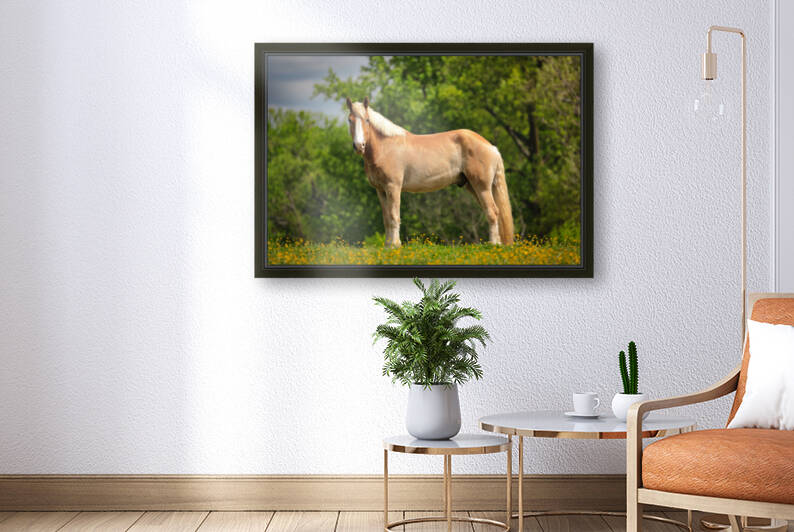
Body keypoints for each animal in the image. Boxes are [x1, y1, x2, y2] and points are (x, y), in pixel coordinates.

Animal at [345, 97, 514, 248]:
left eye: (367, 120)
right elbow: (386, 218)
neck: (386, 147)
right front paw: (388, 245)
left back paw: (493, 244)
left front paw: (395, 245)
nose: (359, 146)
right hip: (472, 186)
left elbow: (394, 215)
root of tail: (491, 147)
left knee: (493, 212)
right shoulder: (381, 190)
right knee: (491, 211)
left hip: (482, 187)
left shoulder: (393, 187)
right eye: (349, 120)